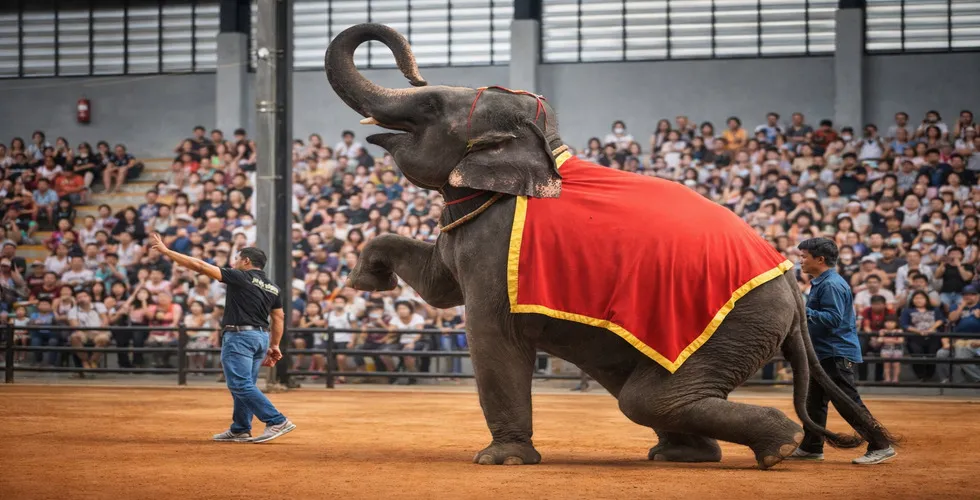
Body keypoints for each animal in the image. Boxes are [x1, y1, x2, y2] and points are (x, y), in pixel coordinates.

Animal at [324, 23, 898, 470]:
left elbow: (490, 335)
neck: (547, 151)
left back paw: (776, 448)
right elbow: (439, 286)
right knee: (643, 393)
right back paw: (686, 456)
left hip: (735, 324)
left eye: (432, 103)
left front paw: (500, 461)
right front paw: (364, 280)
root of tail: (791, 283)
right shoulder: (475, 222)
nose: (415, 72)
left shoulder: (496, 243)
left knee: (646, 399)